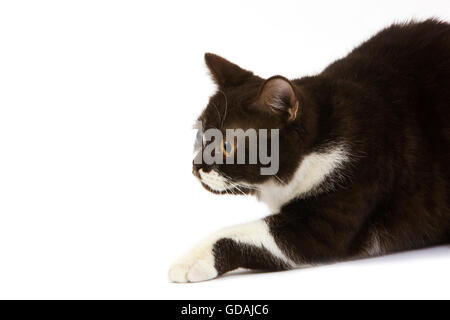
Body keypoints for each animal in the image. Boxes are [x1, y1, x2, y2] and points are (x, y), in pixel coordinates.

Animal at [168, 19, 450, 282]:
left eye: (227, 145)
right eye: (201, 136)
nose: (195, 166)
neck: (314, 148)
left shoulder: (340, 203)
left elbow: (245, 233)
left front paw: (192, 259)